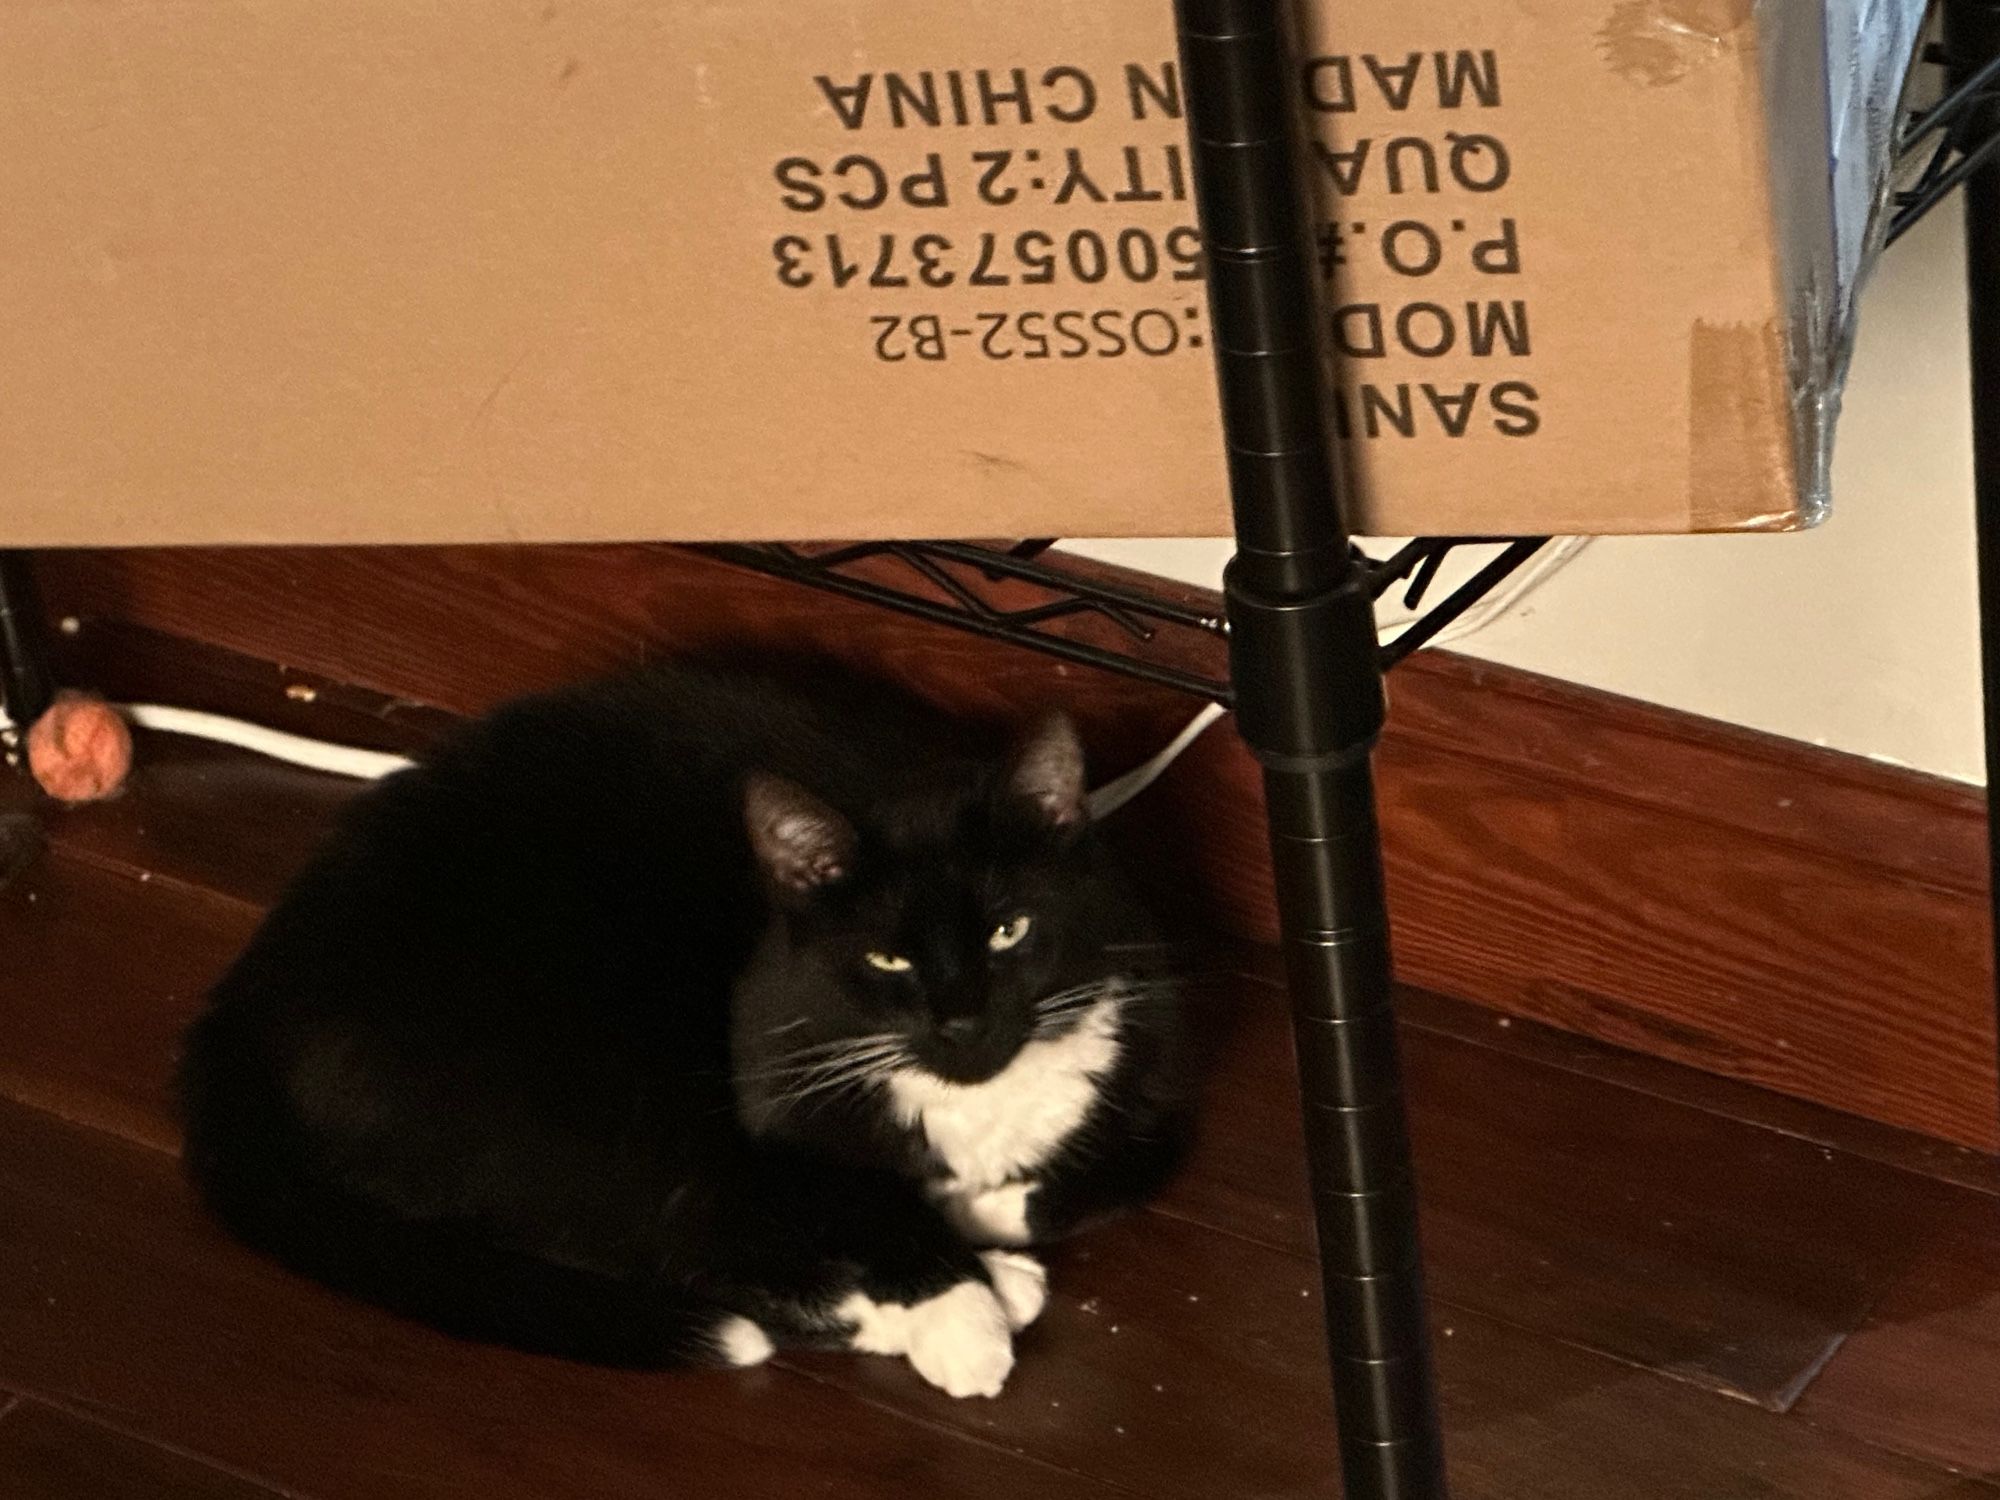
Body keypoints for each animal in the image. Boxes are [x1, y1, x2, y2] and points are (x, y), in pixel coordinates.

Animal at [176, 664, 1184, 1408]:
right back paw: (972, 1304)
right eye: (888, 959)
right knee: (681, 1241)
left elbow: (1137, 1164)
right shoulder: (768, 1094)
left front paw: (983, 1215)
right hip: (602, 1085)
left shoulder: (1150, 1020)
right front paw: (958, 1305)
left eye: (1009, 932)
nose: (963, 1021)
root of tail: (239, 1002)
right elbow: (853, 1198)